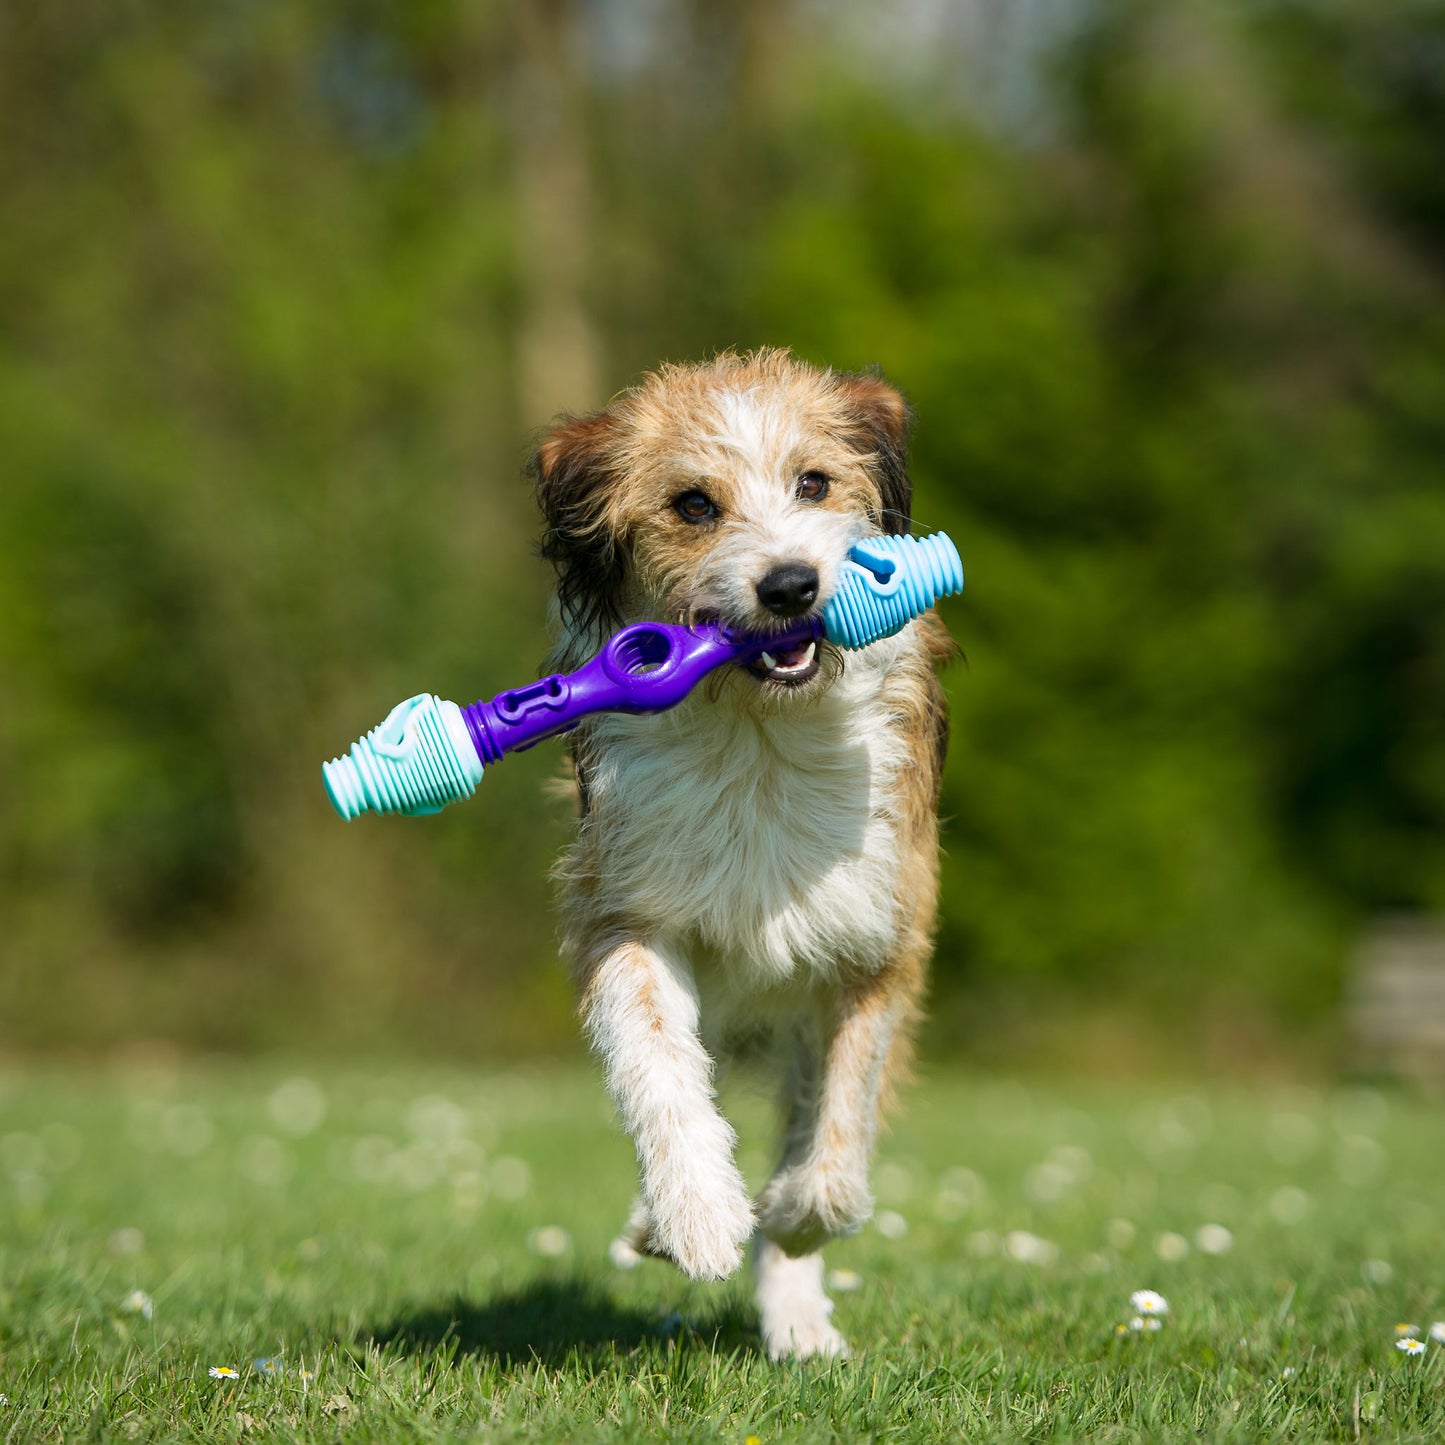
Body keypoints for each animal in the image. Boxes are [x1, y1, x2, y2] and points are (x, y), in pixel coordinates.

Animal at [525, 343, 953, 1358]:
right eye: (692, 505)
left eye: (814, 483)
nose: (790, 584)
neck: (760, 733)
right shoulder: (625, 915)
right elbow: (656, 1067)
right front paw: (692, 1213)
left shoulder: (878, 947)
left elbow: (836, 1148)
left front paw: (787, 1215)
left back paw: (798, 1323)